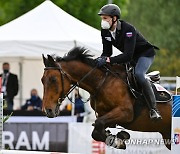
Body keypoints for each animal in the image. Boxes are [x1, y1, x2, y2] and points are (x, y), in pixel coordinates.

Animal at [41, 47, 172, 150]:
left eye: (53, 79)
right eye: (42, 80)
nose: (48, 110)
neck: (102, 83)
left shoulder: (126, 113)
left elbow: (99, 124)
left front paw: (118, 140)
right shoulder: (105, 116)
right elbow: (96, 130)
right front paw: (118, 137)